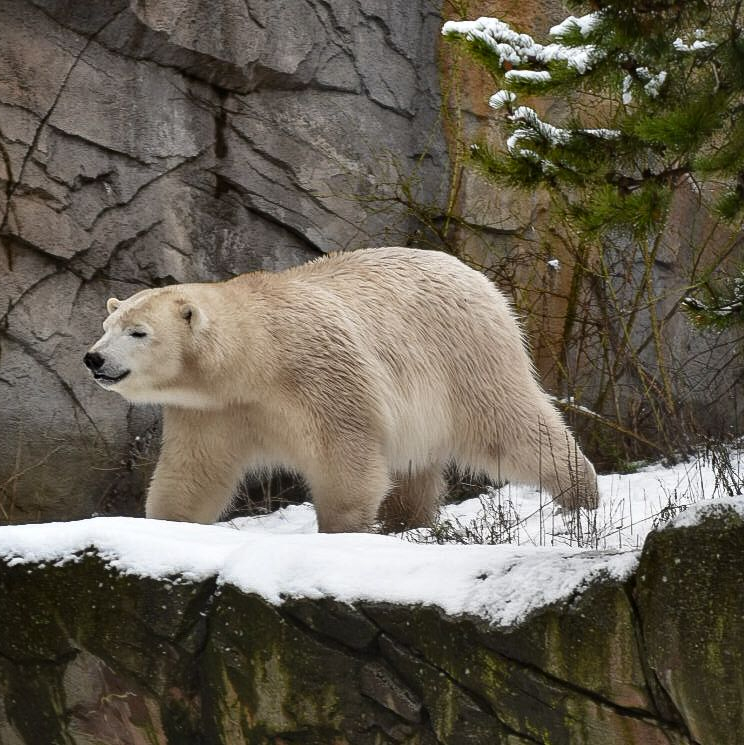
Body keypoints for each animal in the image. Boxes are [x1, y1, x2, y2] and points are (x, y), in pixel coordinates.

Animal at [85, 248, 600, 528]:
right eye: (107, 325)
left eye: (138, 332)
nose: (94, 359)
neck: (257, 357)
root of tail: (477, 277)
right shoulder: (213, 410)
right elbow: (193, 473)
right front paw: (168, 527)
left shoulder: (321, 376)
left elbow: (345, 458)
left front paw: (344, 531)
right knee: (414, 467)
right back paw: (406, 522)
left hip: (466, 356)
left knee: (510, 426)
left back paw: (581, 496)